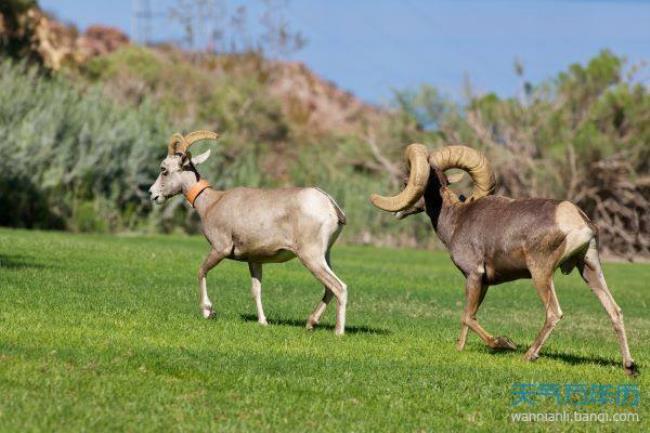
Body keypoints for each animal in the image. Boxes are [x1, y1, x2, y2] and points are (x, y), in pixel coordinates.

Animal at [149, 132, 346, 334]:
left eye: (164, 169)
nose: (152, 194)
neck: (212, 203)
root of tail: (330, 205)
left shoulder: (220, 249)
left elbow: (201, 271)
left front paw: (207, 311)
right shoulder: (254, 260)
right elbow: (256, 290)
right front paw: (262, 321)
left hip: (311, 257)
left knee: (339, 287)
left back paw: (338, 332)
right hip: (324, 256)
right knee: (329, 289)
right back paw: (310, 323)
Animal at [370, 143, 632, 372]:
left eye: (406, 181)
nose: (398, 212)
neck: (456, 219)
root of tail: (578, 221)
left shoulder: (474, 275)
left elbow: (467, 316)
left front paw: (504, 343)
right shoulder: (483, 282)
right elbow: (469, 315)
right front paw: (460, 348)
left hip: (541, 273)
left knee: (554, 313)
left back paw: (529, 355)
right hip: (589, 268)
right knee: (615, 311)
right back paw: (629, 366)